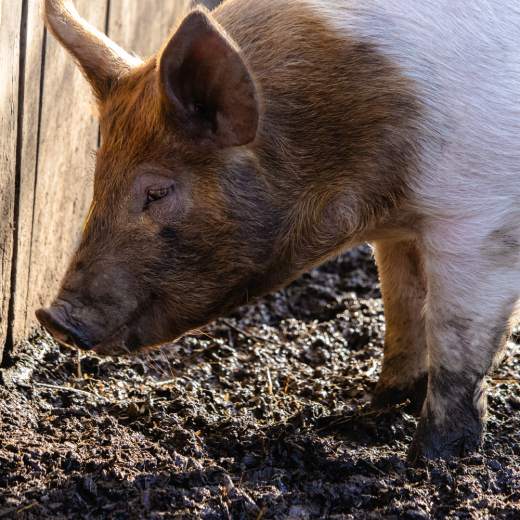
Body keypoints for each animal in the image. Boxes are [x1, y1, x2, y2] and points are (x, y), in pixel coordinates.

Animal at [36, 0, 520, 464]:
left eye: (157, 191)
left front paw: (429, 460)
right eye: (98, 177)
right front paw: (366, 414)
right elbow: (402, 309)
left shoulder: (478, 219)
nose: (52, 318)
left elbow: (453, 334)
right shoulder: (399, 231)